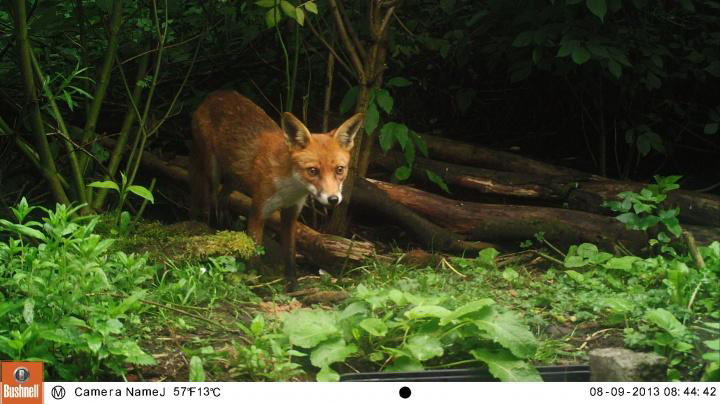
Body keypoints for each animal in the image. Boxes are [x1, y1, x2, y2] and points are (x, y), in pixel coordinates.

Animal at [190, 90, 362, 288]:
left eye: (339, 170)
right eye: (313, 171)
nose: (333, 199)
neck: (289, 189)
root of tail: (217, 93)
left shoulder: (291, 213)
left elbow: (289, 251)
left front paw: (292, 283)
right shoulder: (258, 211)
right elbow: (255, 253)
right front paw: (254, 283)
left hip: (236, 177)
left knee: (222, 196)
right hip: (213, 170)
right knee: (210, 198)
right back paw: (209, 226)